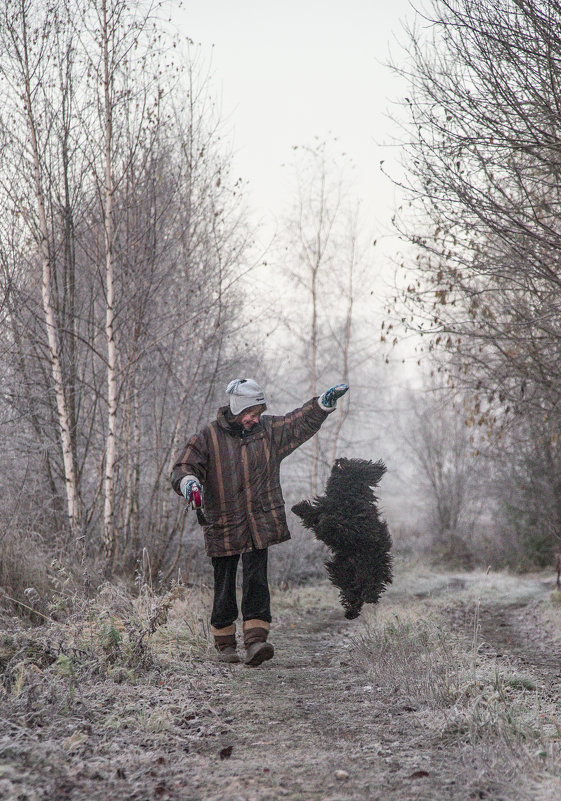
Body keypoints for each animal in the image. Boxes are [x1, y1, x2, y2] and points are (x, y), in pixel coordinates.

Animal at [290, 456, 392, 620]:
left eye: (354, 464)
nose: (340, 459)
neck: (345, 495)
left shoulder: (355, 527)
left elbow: (335, 523)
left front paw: (327, 521)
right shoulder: (323, 509)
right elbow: (314, 515)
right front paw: (298, 508)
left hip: (371, 565)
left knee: (371, 585)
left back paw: (368, 596)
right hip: (341, 571)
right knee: (352, 593)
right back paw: (351, 612)